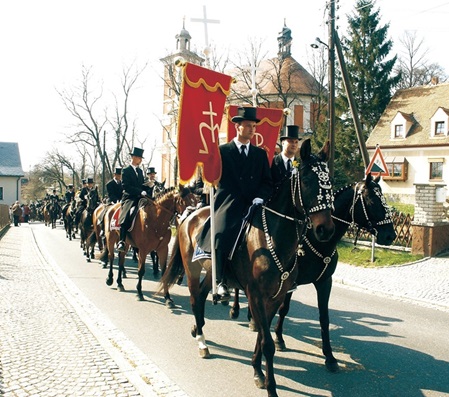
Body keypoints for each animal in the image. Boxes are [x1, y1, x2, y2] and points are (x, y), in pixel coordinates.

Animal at [159, 139, 334, 396]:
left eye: (329, 180)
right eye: (307, 180)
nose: (326, 230)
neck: (273, 238)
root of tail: (189, 216)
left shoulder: (275, 297)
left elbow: (262, 336)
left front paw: (257, 371)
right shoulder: (255, 295)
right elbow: (268, 343)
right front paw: (270, 386)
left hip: (212, 271)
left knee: (201, 295)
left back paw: (199, 329)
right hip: (191, 270)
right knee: (194, 298)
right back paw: (201, 341)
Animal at [233, 172, 398, 372]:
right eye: (372, 201)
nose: (390, 235)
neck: (318, 241)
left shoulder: (324, 282)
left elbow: (324, 318)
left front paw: (330, 357)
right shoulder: (290, 283)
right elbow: (284, 309)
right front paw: (279, 339)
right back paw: (238, 311)